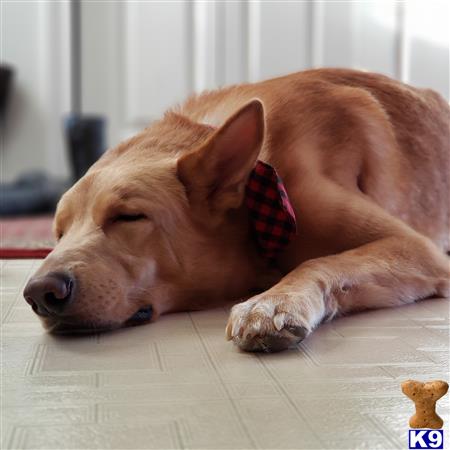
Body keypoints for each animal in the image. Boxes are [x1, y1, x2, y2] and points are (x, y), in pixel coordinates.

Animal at [23, 69, 450, 352]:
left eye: (128, 217)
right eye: (58, 232)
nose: (40, 293)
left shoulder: (416, 248)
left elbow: (321, 261)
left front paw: (273, 301)